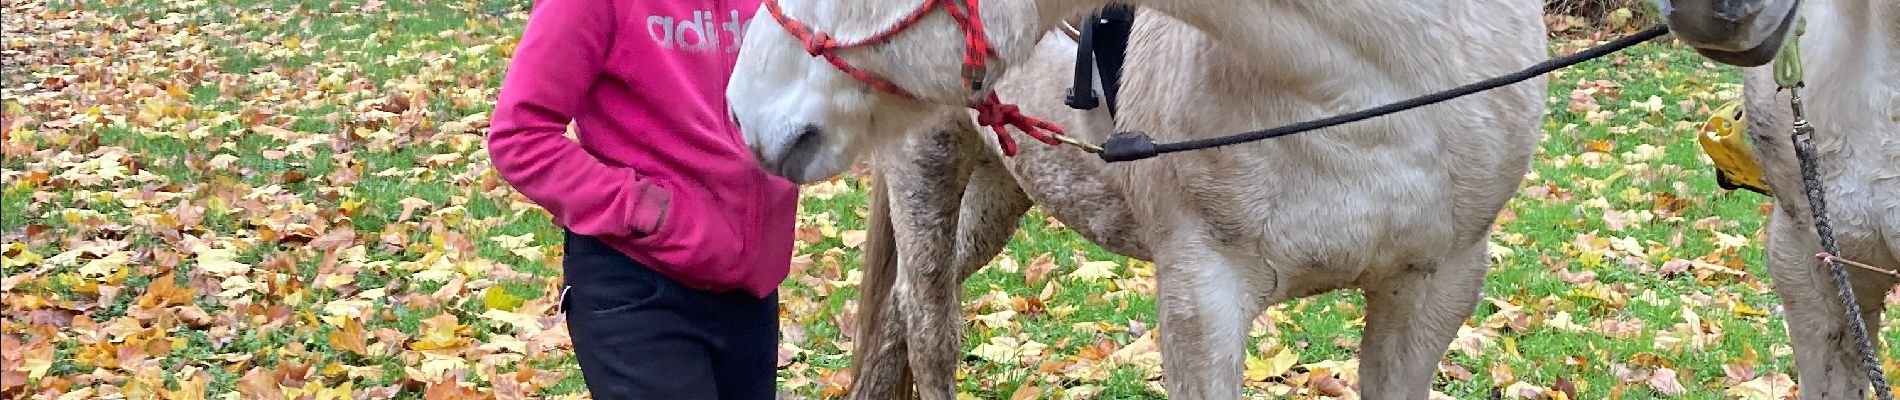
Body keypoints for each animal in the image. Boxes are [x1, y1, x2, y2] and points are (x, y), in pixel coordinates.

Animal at [718, 0, 1550, 396]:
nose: (745, 110)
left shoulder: (1435, 289)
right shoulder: (1202, 299)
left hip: (998, 196)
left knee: (897, 319)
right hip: (928, 168)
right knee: (931, 334)